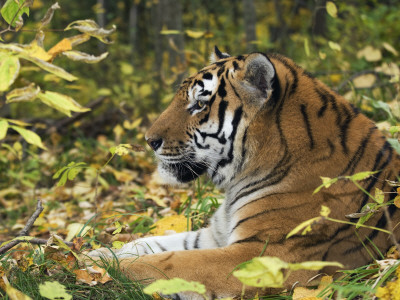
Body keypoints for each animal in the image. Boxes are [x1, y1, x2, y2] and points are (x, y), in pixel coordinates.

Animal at [88, 47, 400, 300]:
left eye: (199, 104)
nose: (149, 140)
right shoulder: (217, 235)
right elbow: (151, 243)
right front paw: (96, 255)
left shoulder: (260, 255)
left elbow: (169, 262)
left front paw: (106, 269)